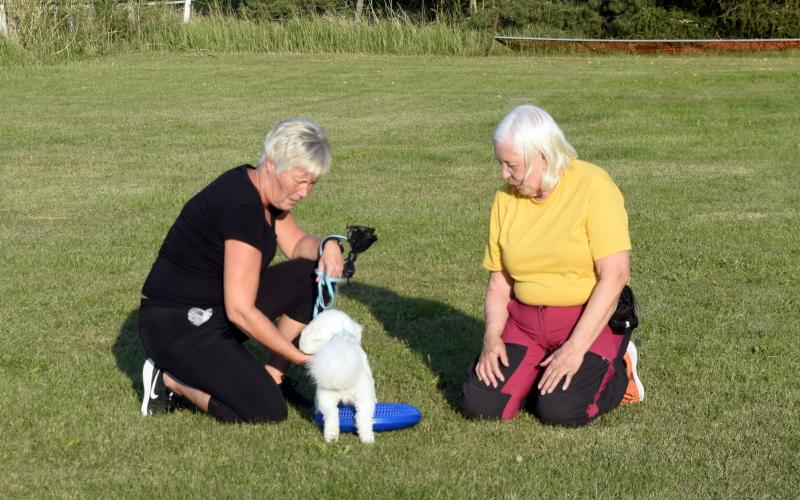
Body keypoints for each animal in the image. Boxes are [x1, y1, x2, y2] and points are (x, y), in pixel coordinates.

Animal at [298, 308, 376, 446]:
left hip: (328, 397)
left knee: (333, 416)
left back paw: (334, 437)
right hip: (361, 397)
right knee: (362, 417)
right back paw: (367, 438)